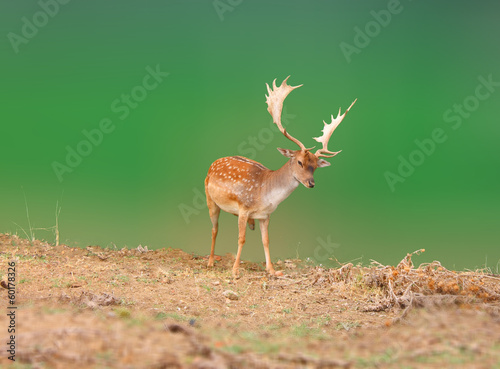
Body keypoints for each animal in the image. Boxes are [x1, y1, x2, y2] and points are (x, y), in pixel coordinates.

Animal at [204, 75, 356, 276]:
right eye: (299, 162)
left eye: (315, 166)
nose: (311, 183)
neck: (265, 194)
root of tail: (213, 163)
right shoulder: (244, 208)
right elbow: (241, 238)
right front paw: (235, 269)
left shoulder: (265, 215)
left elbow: (266, 240)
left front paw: (272, 270)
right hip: (210, 199)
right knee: (214, 229)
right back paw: (210, 261)